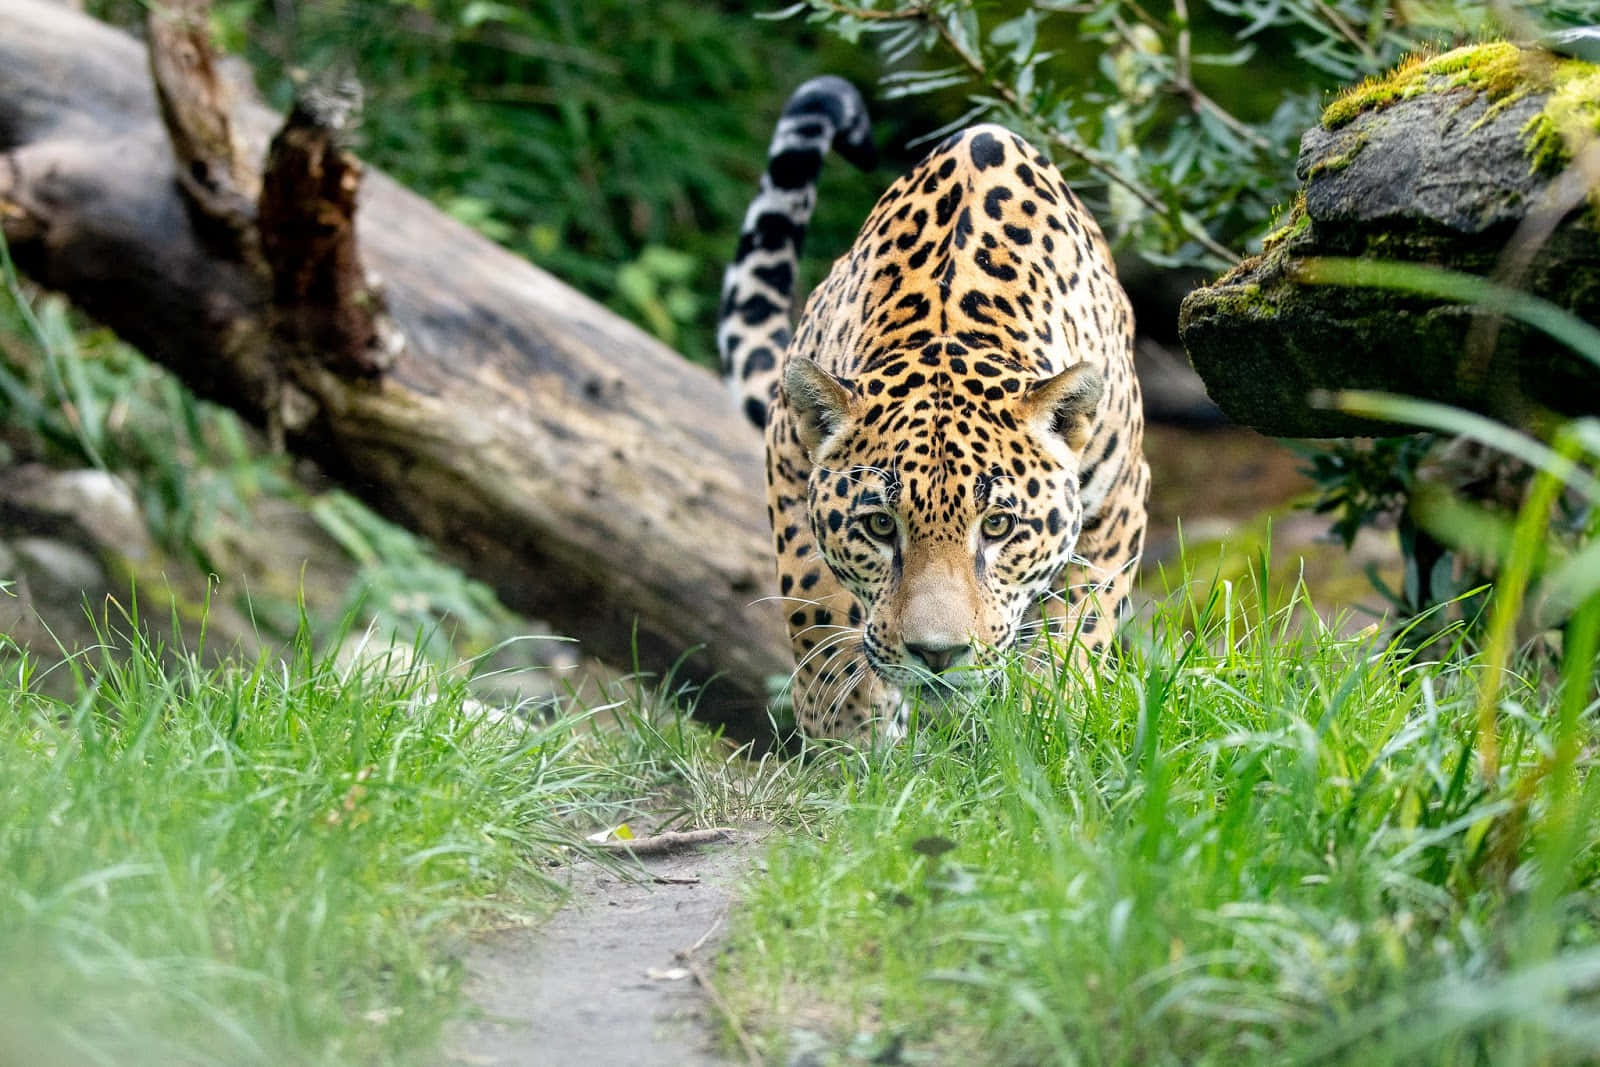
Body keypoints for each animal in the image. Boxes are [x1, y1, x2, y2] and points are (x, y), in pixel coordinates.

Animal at [718, 77, 1149, 740]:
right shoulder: (789, 468)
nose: (938, 655)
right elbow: (819, 621)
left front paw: (1047, 727)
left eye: (997, 526)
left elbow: (1077, 633)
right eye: (879, 526)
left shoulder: (1119, 503)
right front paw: (853, 743)